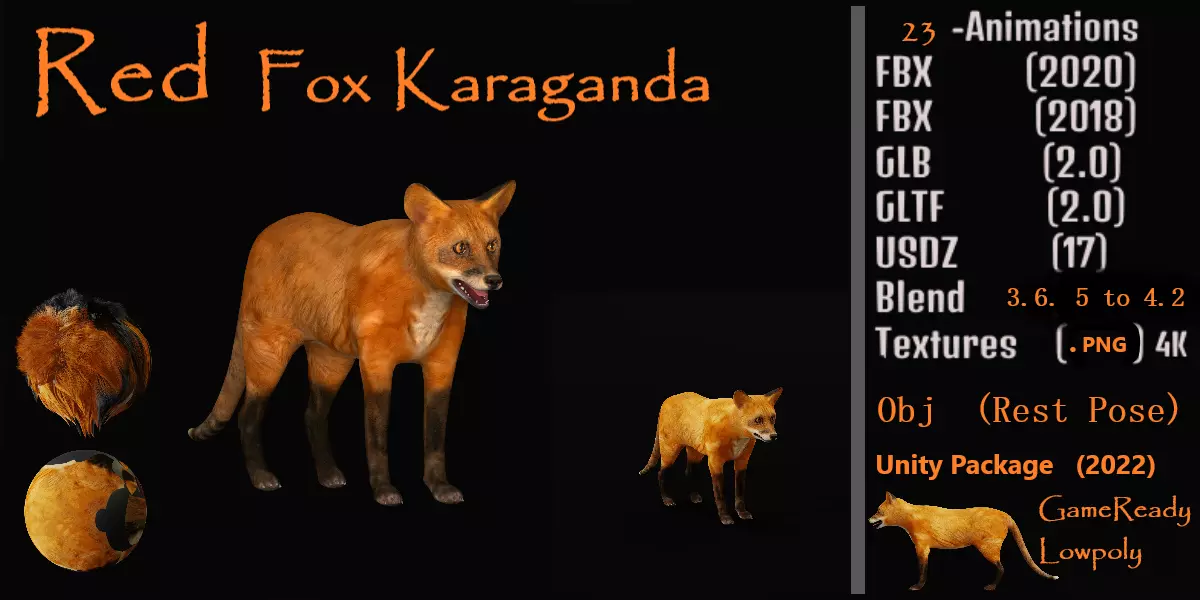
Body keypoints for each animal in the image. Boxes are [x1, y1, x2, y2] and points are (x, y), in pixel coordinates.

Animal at [188, 180, 515, 506]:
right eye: (461, 248)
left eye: (492, 245)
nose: (495, 280)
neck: (427, 300)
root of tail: (264, 233)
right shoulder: (376, 365)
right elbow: (377, 437)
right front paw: (384, 490)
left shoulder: (442, 366)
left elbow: (435, 437)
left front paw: (439, 487)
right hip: (270, 358)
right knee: (247, 416)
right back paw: (261, 477)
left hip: (332, 364)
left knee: (312, 416)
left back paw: (327, 474)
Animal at [639, 388, 781, 525]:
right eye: (758, 420)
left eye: (772, 418)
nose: (774, 436)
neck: (734, 433)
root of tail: (667, 399)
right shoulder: (715, 462)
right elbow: (720, 495)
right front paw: (725, 517)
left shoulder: (742, 461)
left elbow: (740, 493)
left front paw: (742, 512)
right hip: (670, 454)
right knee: (660, 474)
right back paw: (666, 499)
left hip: (695, 455)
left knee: (689, 472)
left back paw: (694, 496)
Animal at [868, 492, 1059, 591]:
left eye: (878, 511)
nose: (869, 519)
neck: (911, 518)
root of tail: (1005, 514)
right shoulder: (924, 548)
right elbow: (924, 569)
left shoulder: (922, 547)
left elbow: (922, 570)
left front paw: (918, 586)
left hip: (987, 549)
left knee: (1002, 568)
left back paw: (991, 587)